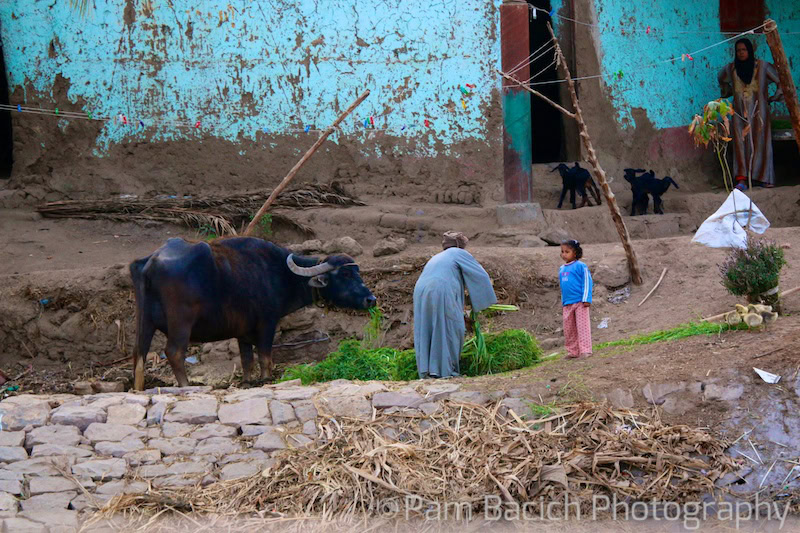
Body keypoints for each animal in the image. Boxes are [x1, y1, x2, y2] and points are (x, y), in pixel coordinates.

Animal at [129, 237, 376, 390]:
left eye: (357, 272)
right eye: (345, 275)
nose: (371, 299)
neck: (279, 273)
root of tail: (152, 261)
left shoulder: (243, 331)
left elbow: (246, 359)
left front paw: (247, 382)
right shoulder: (267, 323)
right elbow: (265, 355)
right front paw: (266, 378)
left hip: (144, 321)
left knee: (139, 355)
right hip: (181, 323)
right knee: (174, 352)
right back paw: (185, 385)